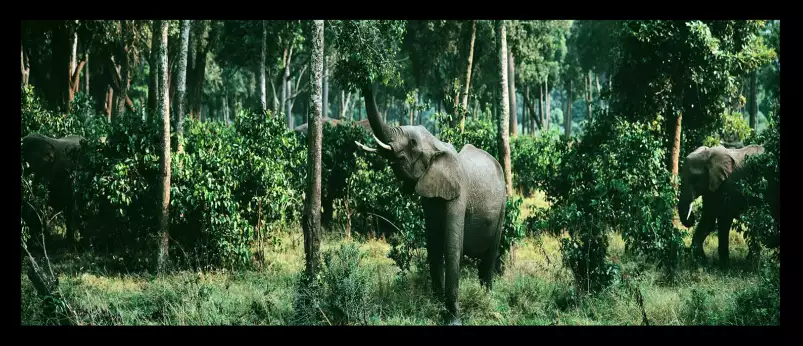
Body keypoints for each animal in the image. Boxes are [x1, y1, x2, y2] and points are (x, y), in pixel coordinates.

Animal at [354, 85, 506, 326]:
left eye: (412, 143)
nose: (366, 79)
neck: (437, 144)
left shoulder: (459, 194)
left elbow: (452, 248)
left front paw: (453, 320)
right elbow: (433, 245)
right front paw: (436, 308)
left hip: (502, 207)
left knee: (490, 257)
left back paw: (487, 300)